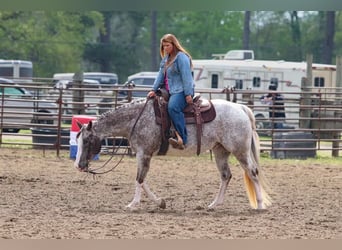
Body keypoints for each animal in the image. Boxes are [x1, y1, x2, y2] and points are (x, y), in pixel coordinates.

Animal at [73, 97, 272, 211]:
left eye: (87, 141)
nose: (79, 166)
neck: (137, 119)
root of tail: (241, 108)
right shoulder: (142, 154)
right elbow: (142, 180)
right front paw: (160, 202)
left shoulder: (144, 153)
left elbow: (139, 179)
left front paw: (133, 204)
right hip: (220, 151)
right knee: (226, 176)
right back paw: (214, 204)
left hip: (240, 151)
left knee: (253, 172)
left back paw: (260, 205)